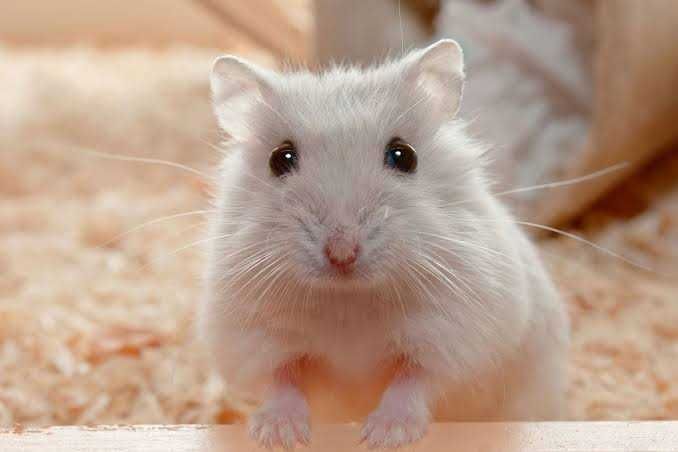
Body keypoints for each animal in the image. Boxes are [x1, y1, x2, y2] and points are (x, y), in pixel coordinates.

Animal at [200, 39, 569, 449]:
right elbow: (281, 380)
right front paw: (280, 435)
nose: (342, 253)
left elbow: (414, 380)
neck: (349, 300)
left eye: (403, 155)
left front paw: (383, 435)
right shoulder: (252, 338)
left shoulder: (455, 336)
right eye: (280, 158)